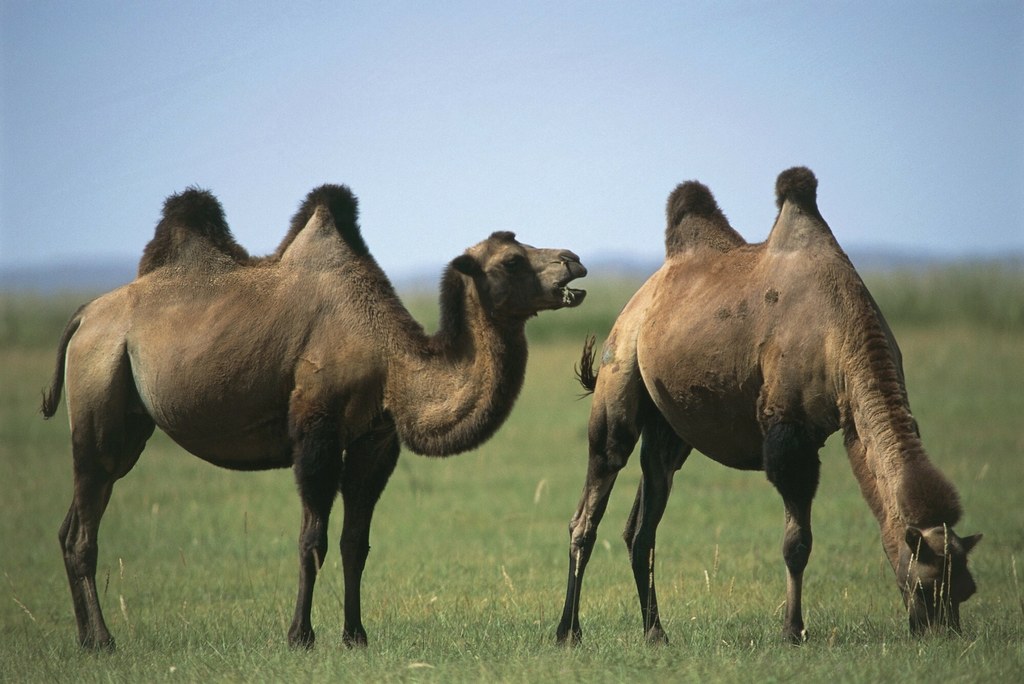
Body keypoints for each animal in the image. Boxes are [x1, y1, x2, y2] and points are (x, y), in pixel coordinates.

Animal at [44, 183, 589, 651]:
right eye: (513, 260)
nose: (575, 261)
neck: (390, 359)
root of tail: (85, 314)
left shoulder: (375, 439)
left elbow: (355, 543)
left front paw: (355, 636)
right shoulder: (316, 428)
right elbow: (312, 540)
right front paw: (300, 636)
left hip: (128, 418)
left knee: (72, 524)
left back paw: (86, 638)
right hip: (99, 390)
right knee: (84, 527)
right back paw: (103, 641)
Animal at [557, 167, 978, 643]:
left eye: (966, 589)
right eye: (927, 585)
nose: (945, 635)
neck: (841, 328)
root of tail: (638, 300)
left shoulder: (851, 422)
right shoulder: (789, 431)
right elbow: (797, 543)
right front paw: (793, 631)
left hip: (670, 428)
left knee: (641, 526)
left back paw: (656, 632)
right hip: (620, 374)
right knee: (591, 504)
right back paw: (568, 631)